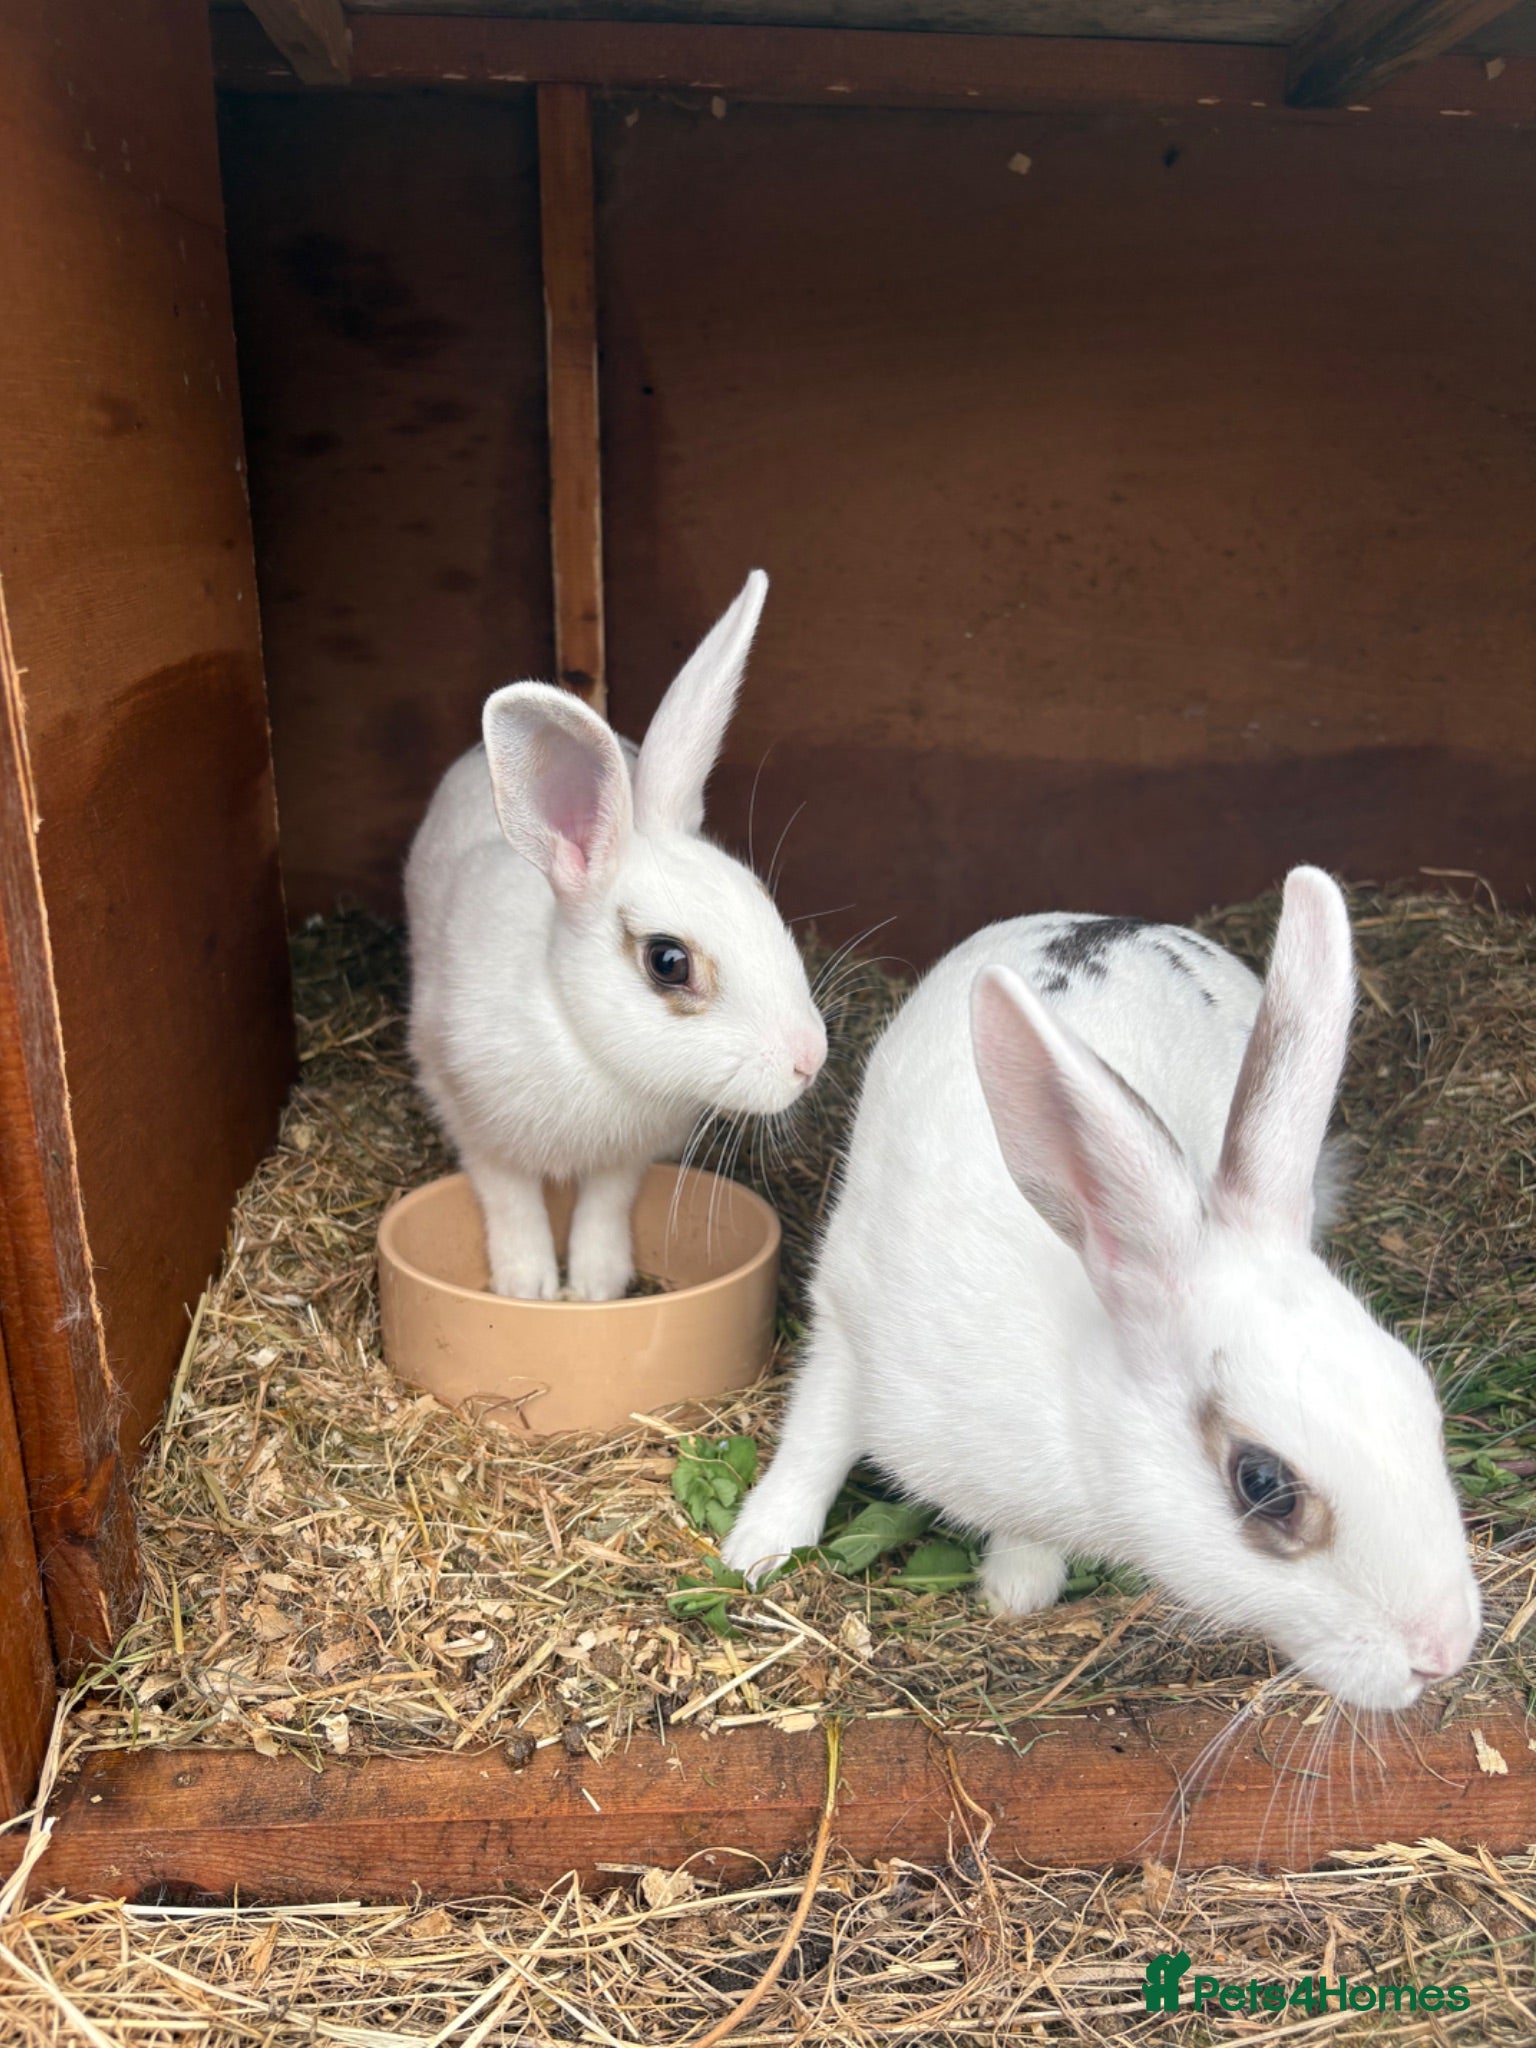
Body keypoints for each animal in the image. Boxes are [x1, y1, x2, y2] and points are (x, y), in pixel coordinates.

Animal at [405, 571, 827, 1303]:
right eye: (668, 961)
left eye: (764, 903)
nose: (811, 1060)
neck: (581, 1040)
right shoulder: (471, 1115)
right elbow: (510, 1196)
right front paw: (529, 1285)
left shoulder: (625, 1159)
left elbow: (604, 1203)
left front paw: (595, 1285)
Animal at [723, 869, 1481, 1710]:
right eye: (1263, 1483)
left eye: (1422, 1398)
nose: (1445, 1650)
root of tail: (1117, 922)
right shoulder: (846, 1323)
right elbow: (815, 1438)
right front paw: (756, 1551)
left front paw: (1017, 1585)